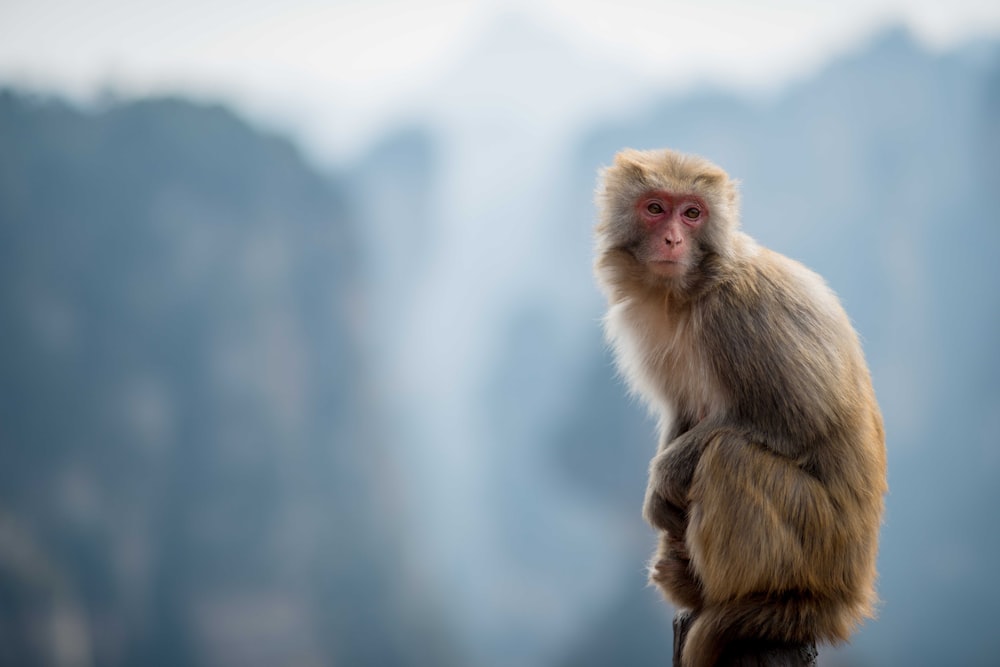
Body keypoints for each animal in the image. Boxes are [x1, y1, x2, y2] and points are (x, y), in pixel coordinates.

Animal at [588, 147, 888, 667]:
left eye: (692, 213)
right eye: (655, 208)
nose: (672, 238)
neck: (690, 290)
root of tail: (846, 597)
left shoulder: (741, 316)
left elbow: (799, 419)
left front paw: (662, 480)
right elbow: (683, 412)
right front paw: (661, 501)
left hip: (818, 539)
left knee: (730, 455)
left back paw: (747, 600)